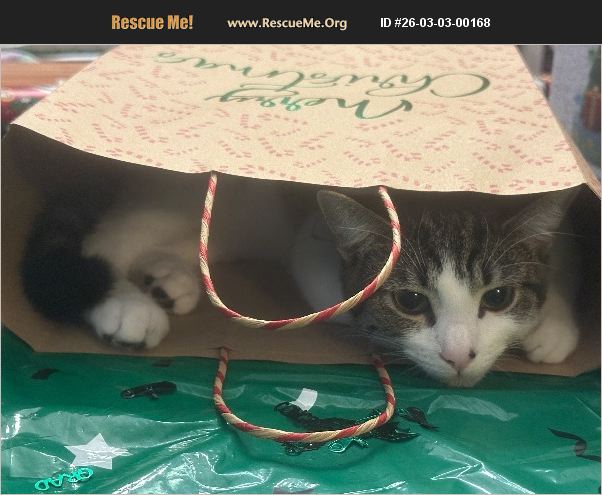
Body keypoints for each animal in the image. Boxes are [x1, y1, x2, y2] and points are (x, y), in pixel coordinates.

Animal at [21, 175, 580, 387]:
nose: (460, 355)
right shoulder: (311, 247)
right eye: (410, 301)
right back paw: (128, 304)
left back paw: (168, 279)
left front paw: (551, 326)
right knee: (105, 244)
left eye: (499, 296)